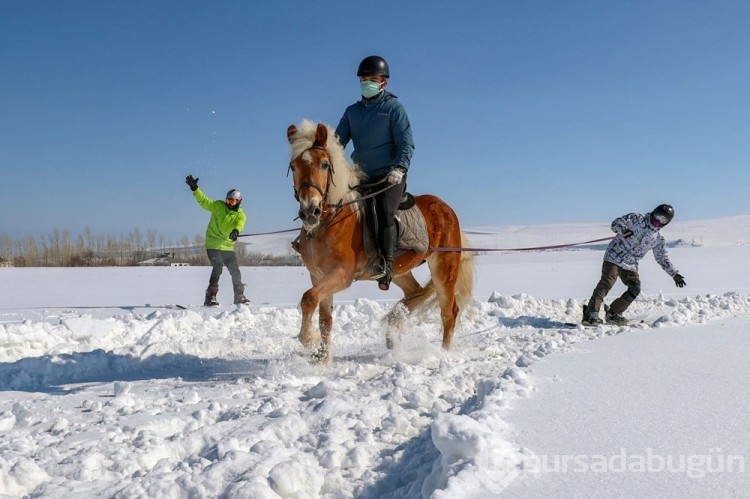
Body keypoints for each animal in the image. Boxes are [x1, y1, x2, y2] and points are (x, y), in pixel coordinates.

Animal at [288, 119, 476, 366]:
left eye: (325, 165)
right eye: (293, 166)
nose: (310, 211)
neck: (329, 222)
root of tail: (447, 209)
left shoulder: (341, 275)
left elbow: (308, 298)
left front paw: (309, 341)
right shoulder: (319, 276)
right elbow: (325, 320)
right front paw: (323, 360)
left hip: (444, 268)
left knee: (449, 312)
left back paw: (442, 355)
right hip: (400, 271)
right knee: (414, 294)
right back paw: (393, 332)